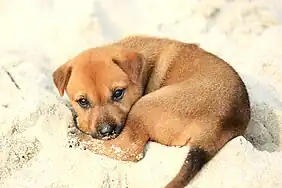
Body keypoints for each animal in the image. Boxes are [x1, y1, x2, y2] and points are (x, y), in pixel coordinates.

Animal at [51, 35, 250, 188]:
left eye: (118, 93)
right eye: (83, 102)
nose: (106, 131)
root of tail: (219, 124)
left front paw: (81, 125)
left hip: (144, 105)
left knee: (129, 149)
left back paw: (77, 136)